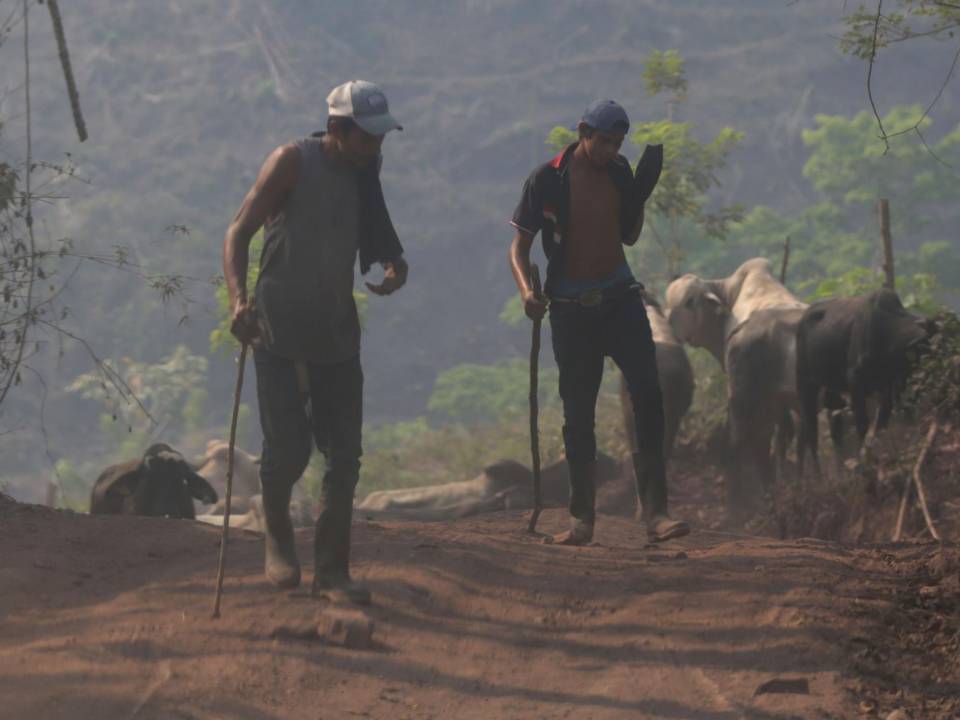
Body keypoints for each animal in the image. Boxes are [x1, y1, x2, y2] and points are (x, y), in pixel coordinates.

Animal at [796, 286, 928, 478]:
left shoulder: (888, 386)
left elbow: (881, 425)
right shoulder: (856, 381)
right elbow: (863, 423)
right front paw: (863, 463)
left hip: (832, 392)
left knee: (833, 430)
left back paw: (838, 470)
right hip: (806, 385)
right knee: (810, 431)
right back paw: (819, 476)